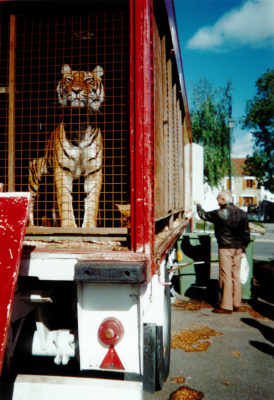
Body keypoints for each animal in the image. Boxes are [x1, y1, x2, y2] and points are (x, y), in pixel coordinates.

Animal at [28, 65, 104, 228]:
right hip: (36, 173)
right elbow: (65, 200)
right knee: (30, 200)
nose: (76, 90)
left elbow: (92, 201)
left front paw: (89, 227)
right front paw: (69, 225)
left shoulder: (93, 171)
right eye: (69, 79)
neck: (81, 122)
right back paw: (31, 226)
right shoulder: (63, 169)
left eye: (88, 79)